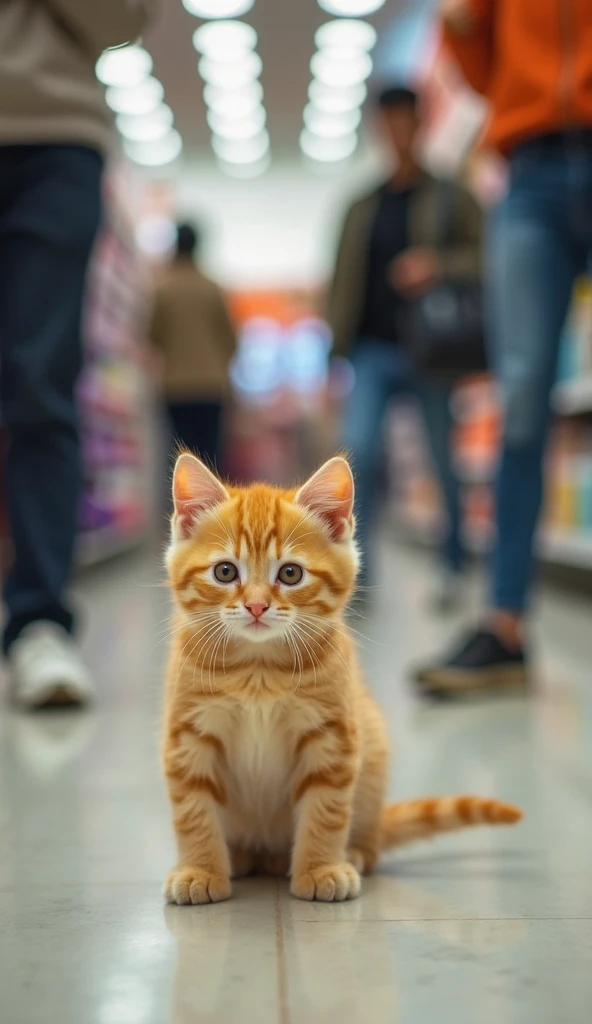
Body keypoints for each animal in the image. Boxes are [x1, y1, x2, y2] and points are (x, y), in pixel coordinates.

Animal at [162, 456, 520, 905]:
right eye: (225, 572)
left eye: (290, 574)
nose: (257, 606)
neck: (259, 672)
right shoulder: (188, 736)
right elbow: (193, 810)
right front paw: (200, 869)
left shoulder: (332, 734)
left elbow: (326, 809)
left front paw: (319, 868)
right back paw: (241, 856)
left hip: (372, 747)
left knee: (368, 836)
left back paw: (349, 852)